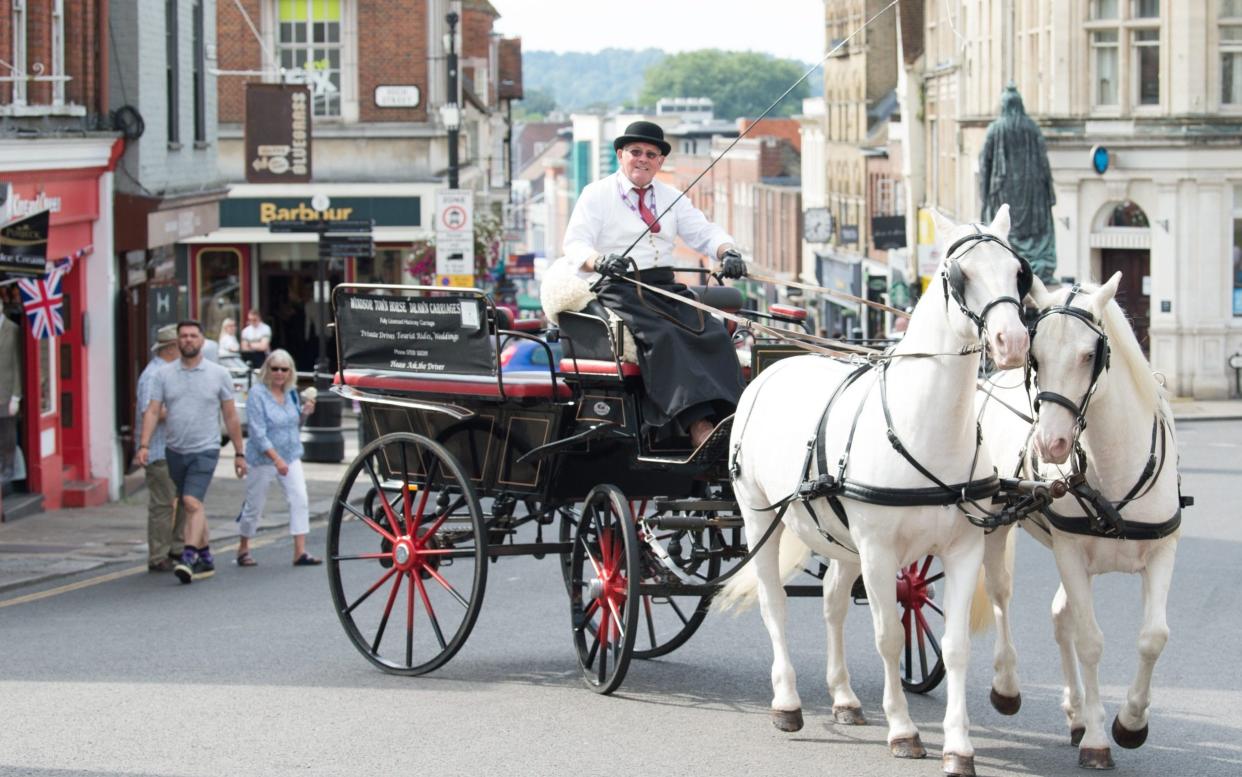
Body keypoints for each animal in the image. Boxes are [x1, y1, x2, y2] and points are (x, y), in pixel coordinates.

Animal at [720, 206, 1028, 774]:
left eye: (1018, 272)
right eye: (958, 276)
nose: (1012, 343)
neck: (922, 425)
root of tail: (772, 367)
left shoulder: (962, 547)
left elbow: (954, 645)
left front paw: (958, 745)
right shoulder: (880, 550)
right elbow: (887, 637)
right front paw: (903, 729)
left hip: (841, 539)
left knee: (832, 602)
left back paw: (843, 698)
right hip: (760, 518)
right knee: (775, 604)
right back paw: (787, 702)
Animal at [978, 275, 1182, 764]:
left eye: (1091, 354)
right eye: (1035, 357)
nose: (1050, 444)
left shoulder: (1162, 551)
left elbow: (1153, 636)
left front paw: (1130, 722)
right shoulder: (1070, 552)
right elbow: (1090, 641)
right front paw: (1096, 739)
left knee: (1059, 617)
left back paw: (1075, 713)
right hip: (996, 523)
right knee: (1001, 595)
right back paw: (1008, 686)